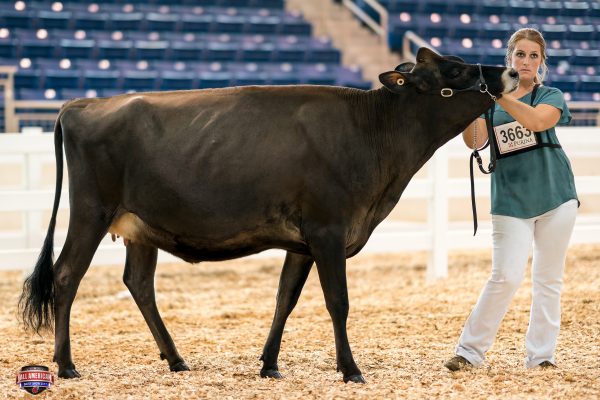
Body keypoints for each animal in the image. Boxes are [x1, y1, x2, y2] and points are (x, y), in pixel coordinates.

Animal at [19, 47, 518, 383]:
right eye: (454, 70)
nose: (511, 70)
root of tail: (83, 104)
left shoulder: (302, 241)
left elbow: (285, 299)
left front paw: (270, 364)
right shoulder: (328, 229)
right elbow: (338, 301)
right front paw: (350, 370)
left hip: (140, 226)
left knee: (139, 283)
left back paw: (176, 359)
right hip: (91, 210)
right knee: (66, 275)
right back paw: (66, 365)